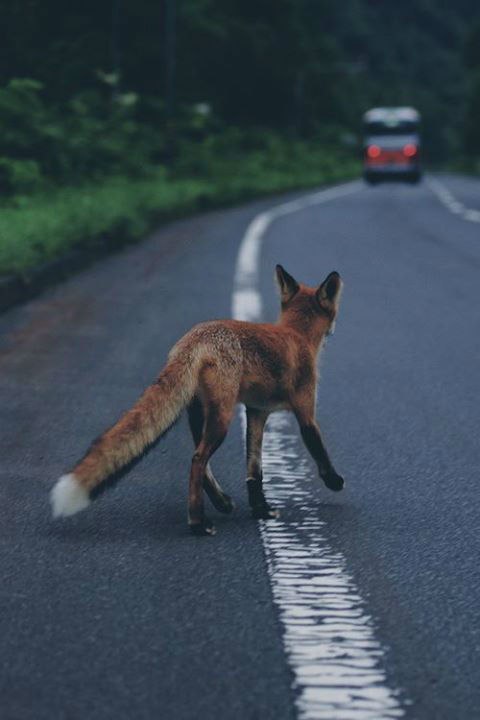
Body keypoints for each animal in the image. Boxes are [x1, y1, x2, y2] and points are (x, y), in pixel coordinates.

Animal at [50, 264, 344, 536]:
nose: (334, 329)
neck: (297, 335)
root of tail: (192, 340)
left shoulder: (256, 412)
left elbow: (255, 468)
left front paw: (260, 509)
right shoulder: (305, 410)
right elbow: (318, 449)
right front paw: (334, 481)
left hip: (200, 414)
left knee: (200, 462)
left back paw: (221, 503)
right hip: (222, 418)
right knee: (198, 459)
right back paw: (198, 522)